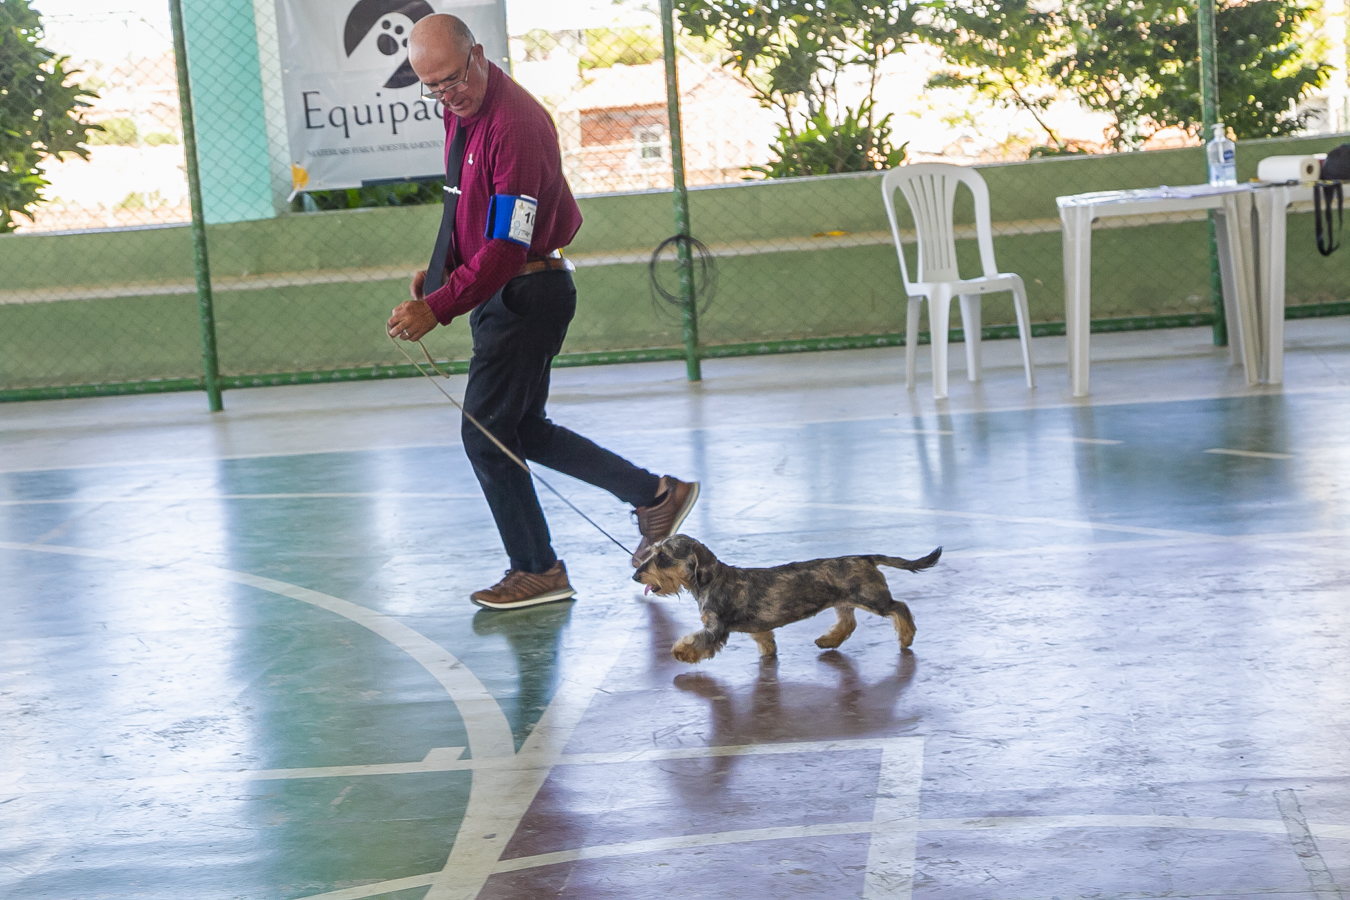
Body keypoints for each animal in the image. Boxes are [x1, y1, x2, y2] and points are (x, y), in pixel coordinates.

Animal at [632, 534, 941, 663]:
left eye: (662, 556)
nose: (636, 575)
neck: (713, 579)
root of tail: (866, 557)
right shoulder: (759, 628)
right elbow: (766, 641)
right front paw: (769, 654)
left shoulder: (715, 628)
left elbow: (697, 641)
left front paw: (681, 652)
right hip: (844, 602)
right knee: (848, 624)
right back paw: (828, 640)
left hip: (873, 599)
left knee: (900, 608)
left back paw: (907, 637)